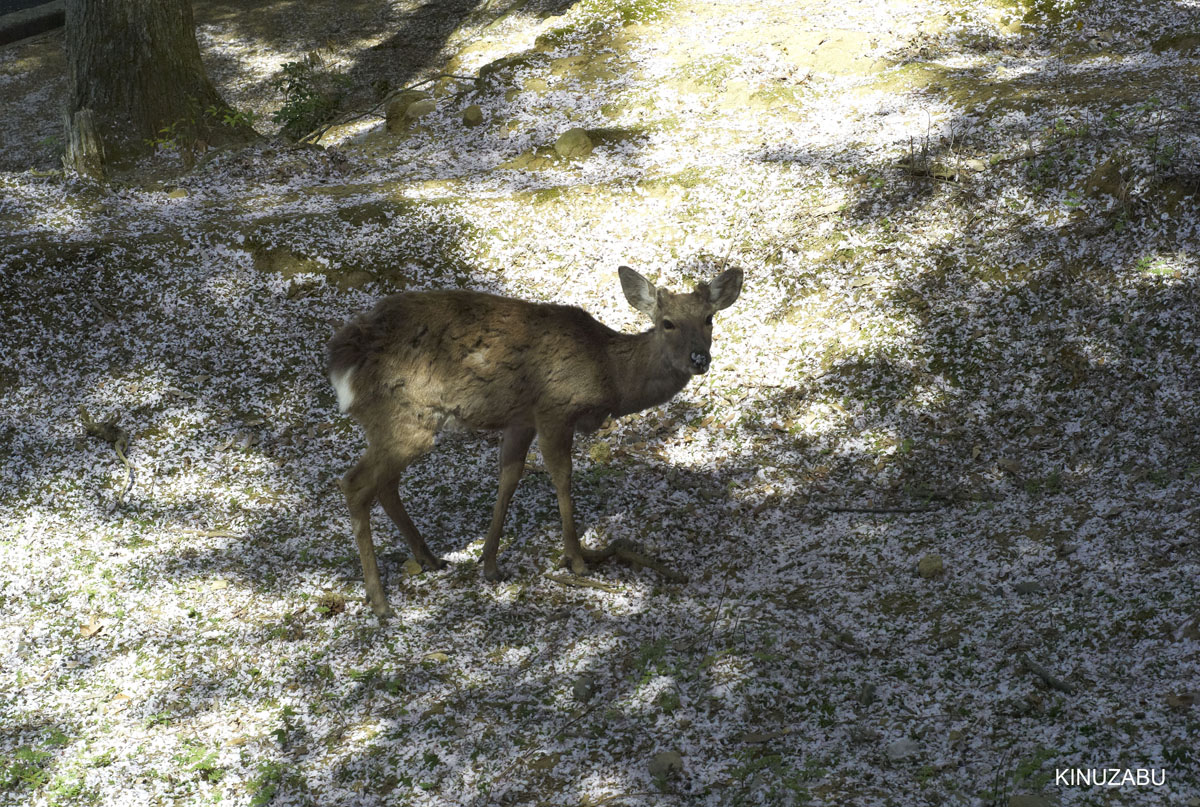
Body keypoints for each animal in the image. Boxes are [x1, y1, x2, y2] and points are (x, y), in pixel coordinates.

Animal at [328, 264, 739, 619]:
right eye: (667, 323)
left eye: (709, 318)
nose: (699, 358)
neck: (608, 374)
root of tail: (343, 361)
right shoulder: (554, 410)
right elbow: (562, 476)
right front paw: (577, 559)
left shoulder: (520, 418)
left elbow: (509, 476)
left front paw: (490, 563)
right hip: (407, 416)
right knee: (355, 483)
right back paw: (380, 601)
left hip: (392, 424)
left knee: (385, 484)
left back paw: (428, 559)